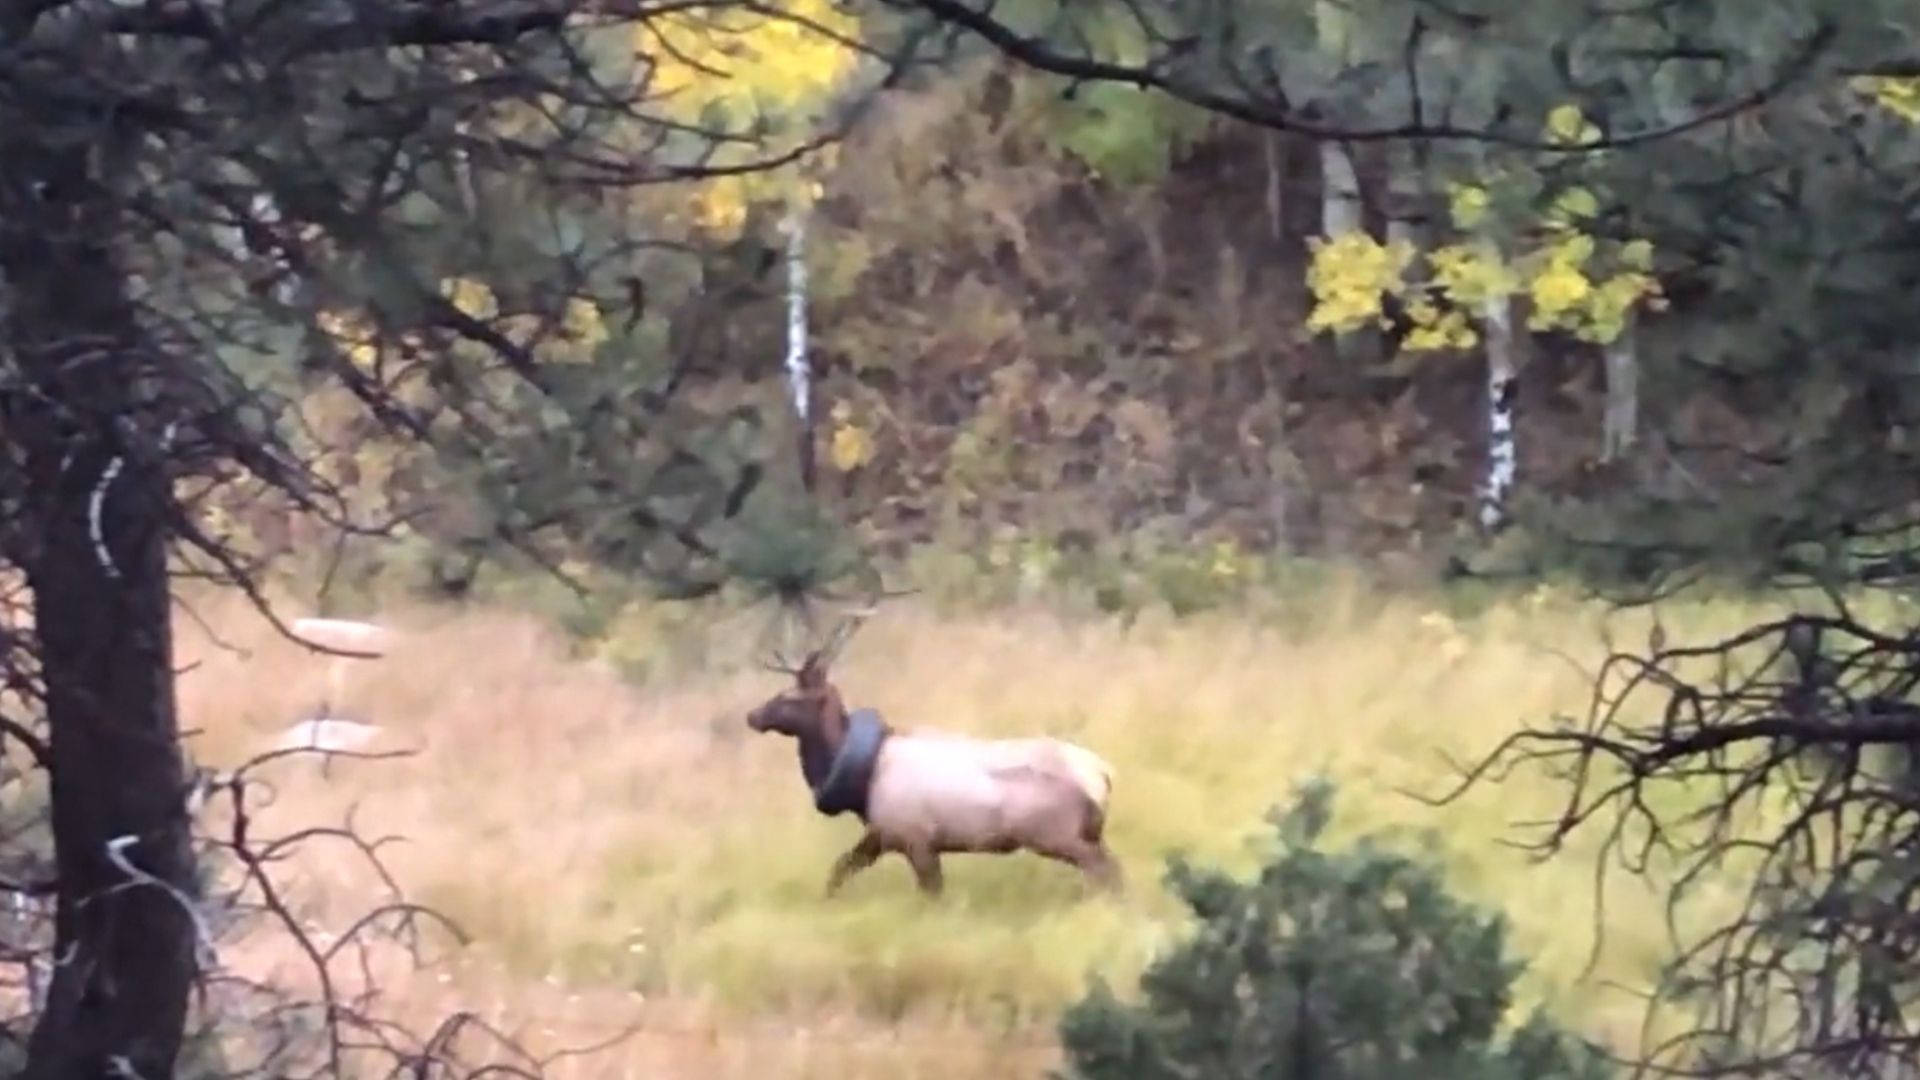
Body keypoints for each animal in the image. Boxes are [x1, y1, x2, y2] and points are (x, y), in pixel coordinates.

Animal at [744, 609, 1121, 899]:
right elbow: (839, 870)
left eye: (790, 698)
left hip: (1057, 834)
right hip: (1084, 834)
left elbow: (932, 892)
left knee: (1108, 871)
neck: (862, 789)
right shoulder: (883, 835)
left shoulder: (917, 838)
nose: (753, 716)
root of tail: (1103, 776)